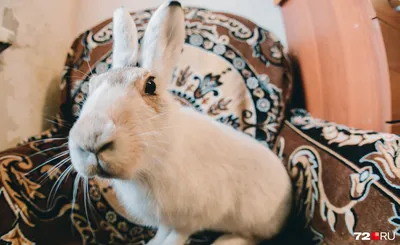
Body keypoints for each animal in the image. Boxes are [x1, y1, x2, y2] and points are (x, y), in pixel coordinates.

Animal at [67, 0, 292, 244]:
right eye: (91, 85)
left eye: (151, 86)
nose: (91, 138)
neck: (150, 164)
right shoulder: (166, 218)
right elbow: (162, 232)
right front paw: (152, 242)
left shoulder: (192, 217)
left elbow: (177, 236)